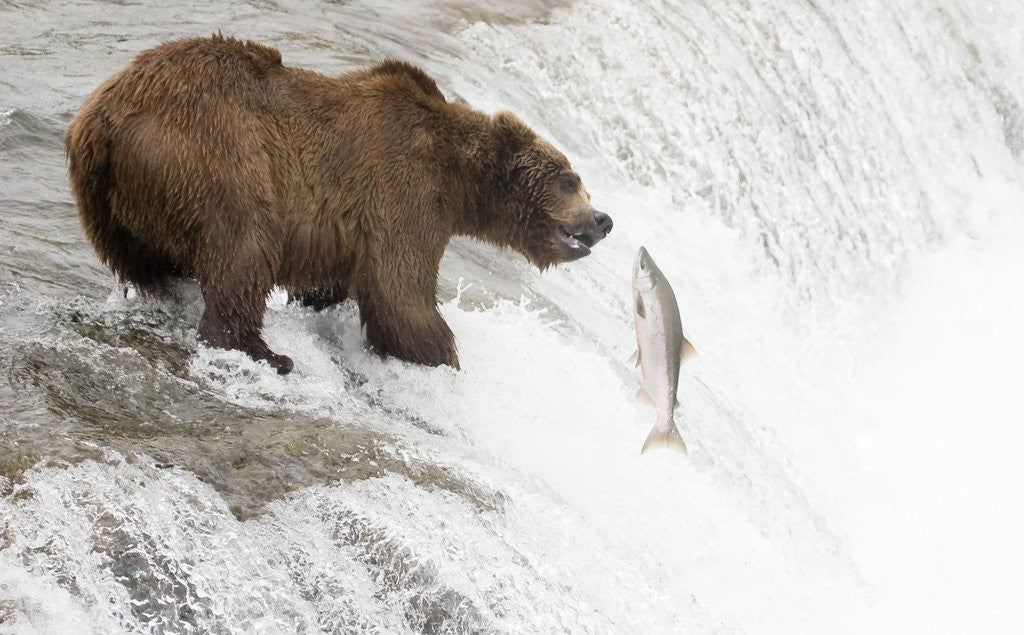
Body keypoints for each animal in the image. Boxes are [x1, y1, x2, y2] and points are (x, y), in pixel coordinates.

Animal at [65, 35, 613, 374]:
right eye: (570, 180)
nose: (604, 219)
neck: (458, 176)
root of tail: (103, 116)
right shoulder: (403, 188)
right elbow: (400, 290)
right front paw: (444, 357)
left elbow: (339, 281)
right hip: (219, 151)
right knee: (245, 247)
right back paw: (266, 352)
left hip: (110, 200)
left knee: (147, 260)